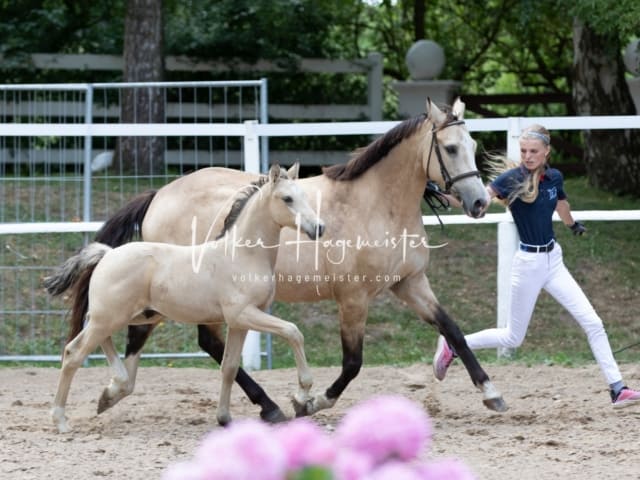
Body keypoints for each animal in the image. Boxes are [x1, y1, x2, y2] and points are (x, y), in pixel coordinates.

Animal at [44, 163, 322, 434]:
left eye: (304, 195)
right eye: (287, 198)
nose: (319, 228)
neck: (240, 255)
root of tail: (107, 254)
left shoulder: (239, 323)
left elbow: (229, 367)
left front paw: (224, 418)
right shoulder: (244, 314)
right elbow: (293, 331)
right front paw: (301, 397)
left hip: (126, 316)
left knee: (101, 341)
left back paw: (110, 392)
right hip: (111, 317)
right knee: (74, 352)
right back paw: (61, 420)